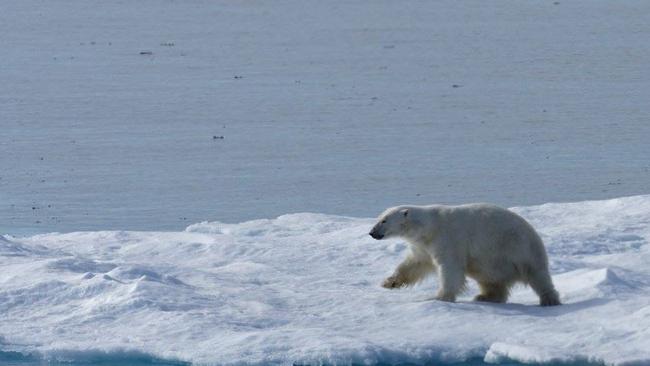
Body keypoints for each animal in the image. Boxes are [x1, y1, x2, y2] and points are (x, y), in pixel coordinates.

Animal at [368, 203, 560, 306]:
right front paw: (389, 282)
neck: (428, 228)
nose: (371, 232)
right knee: (491, 281)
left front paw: (440, 297)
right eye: (379, 218)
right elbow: (413, 265)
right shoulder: (423, 247)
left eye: (384, 220)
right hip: (493, 264)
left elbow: (450, 269)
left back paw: (549, 300)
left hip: (520, 250)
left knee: (538, 276)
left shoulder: (448, 239)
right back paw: (484, 296)